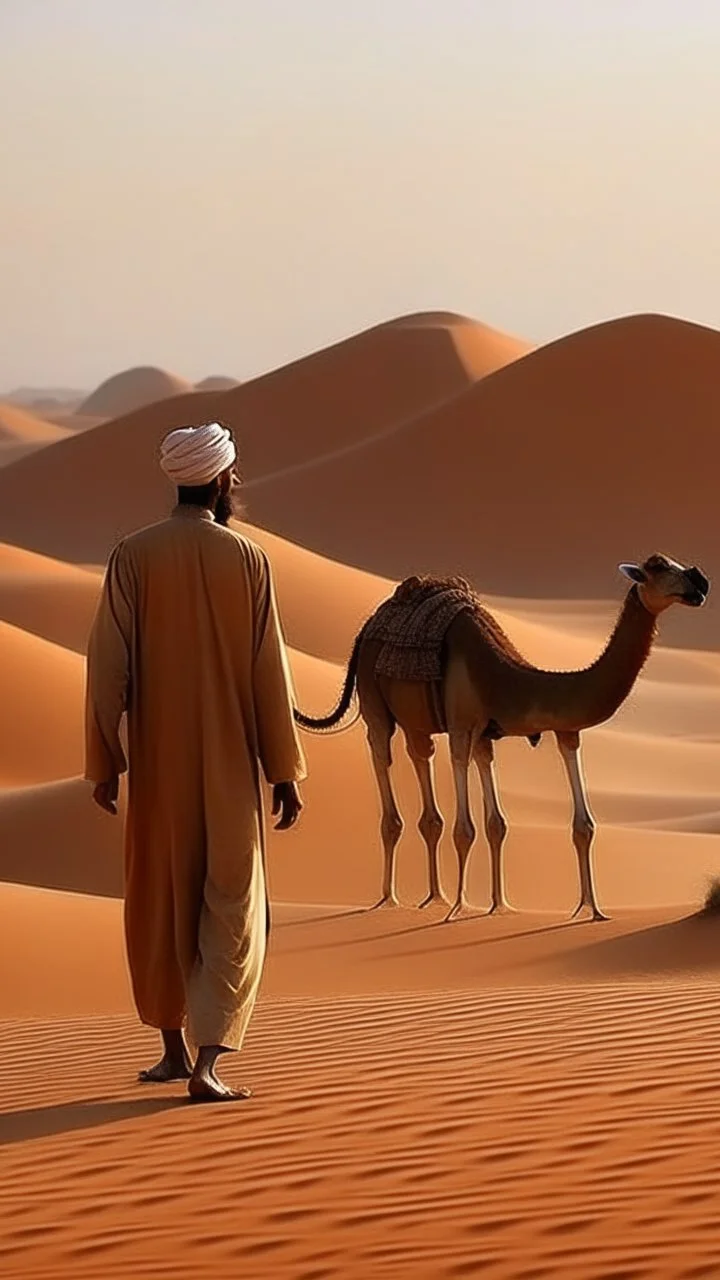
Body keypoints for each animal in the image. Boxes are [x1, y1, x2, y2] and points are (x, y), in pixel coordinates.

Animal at [292, 550, 707, 921]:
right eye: (658, 568)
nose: (699, 580)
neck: (505, 676)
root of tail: (367, 627)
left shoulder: (511, 734)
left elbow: (533, 825)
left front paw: (558, 908)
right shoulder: (462, 728)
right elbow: (465, 828)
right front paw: (461, 909)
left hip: (417, 722)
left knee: (421, 764)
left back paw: (434, 897)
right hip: (375, 702)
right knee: (384, 761)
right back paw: (391, 899)